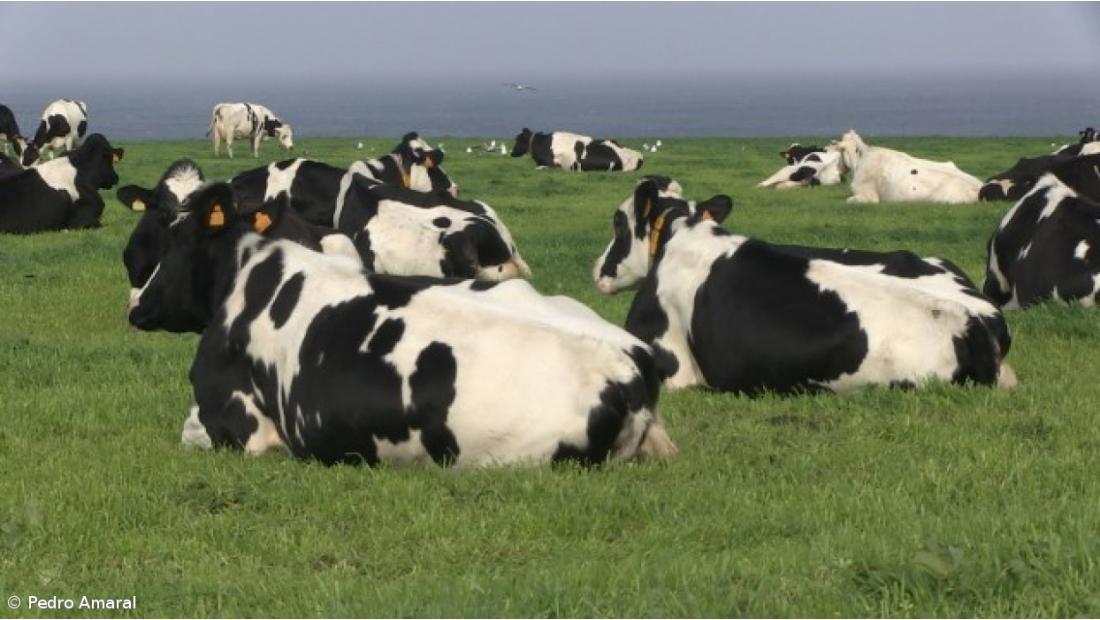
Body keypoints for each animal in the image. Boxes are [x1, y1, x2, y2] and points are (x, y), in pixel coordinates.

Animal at [831, 130, 982, 204]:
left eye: (839, 152)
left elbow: (848, 200)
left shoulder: (868, 196)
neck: (861, 160)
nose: (838, 169)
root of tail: (980, 187)